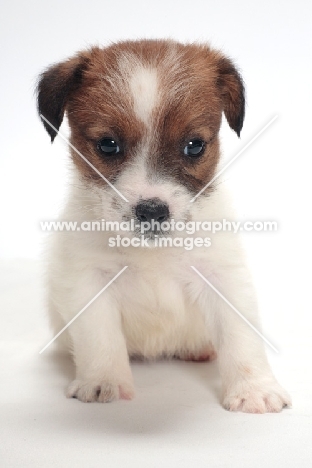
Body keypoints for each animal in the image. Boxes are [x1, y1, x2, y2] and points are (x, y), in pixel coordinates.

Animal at [37, 40, 292, 414]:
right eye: (108, 145)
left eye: (194, 146)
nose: (152, 211)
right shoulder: (88, 282)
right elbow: (100, 338)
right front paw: (103, 382)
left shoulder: (223, 277)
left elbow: (241, 336)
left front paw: (254, 389)